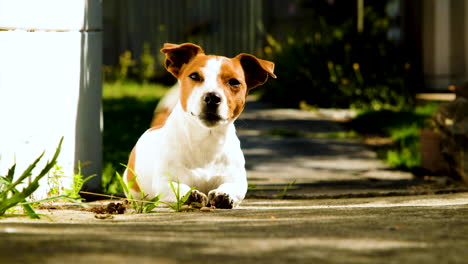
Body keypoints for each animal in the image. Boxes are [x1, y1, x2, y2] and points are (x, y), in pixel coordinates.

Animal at [126, 42, 276, 208]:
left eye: (234, 82)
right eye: (194, 76)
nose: (212, 97)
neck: (205, 140)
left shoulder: (237, 181)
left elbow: (231, 186)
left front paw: (224, 194)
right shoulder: (164, 182)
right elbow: (176, 187)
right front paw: (190, 195)